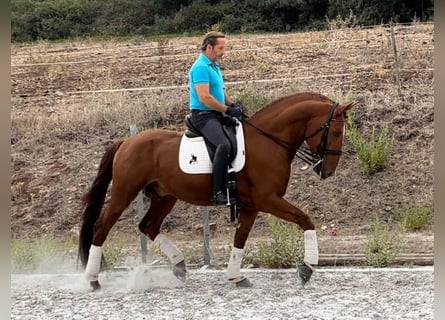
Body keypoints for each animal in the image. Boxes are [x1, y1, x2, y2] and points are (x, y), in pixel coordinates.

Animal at [76, 92, 354, 290]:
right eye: (335, 132)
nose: (328, 171)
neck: (268, 141)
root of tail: (126, 142)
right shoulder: (268, 200)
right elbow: (306, 219)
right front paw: (307, 268)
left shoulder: (252, 205)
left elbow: (240, 239)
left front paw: (235, 277)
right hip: (124, 192)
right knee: (102, 228)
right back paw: (93, 280)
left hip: (166, 196)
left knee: (148, 226)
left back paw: (179, 266)